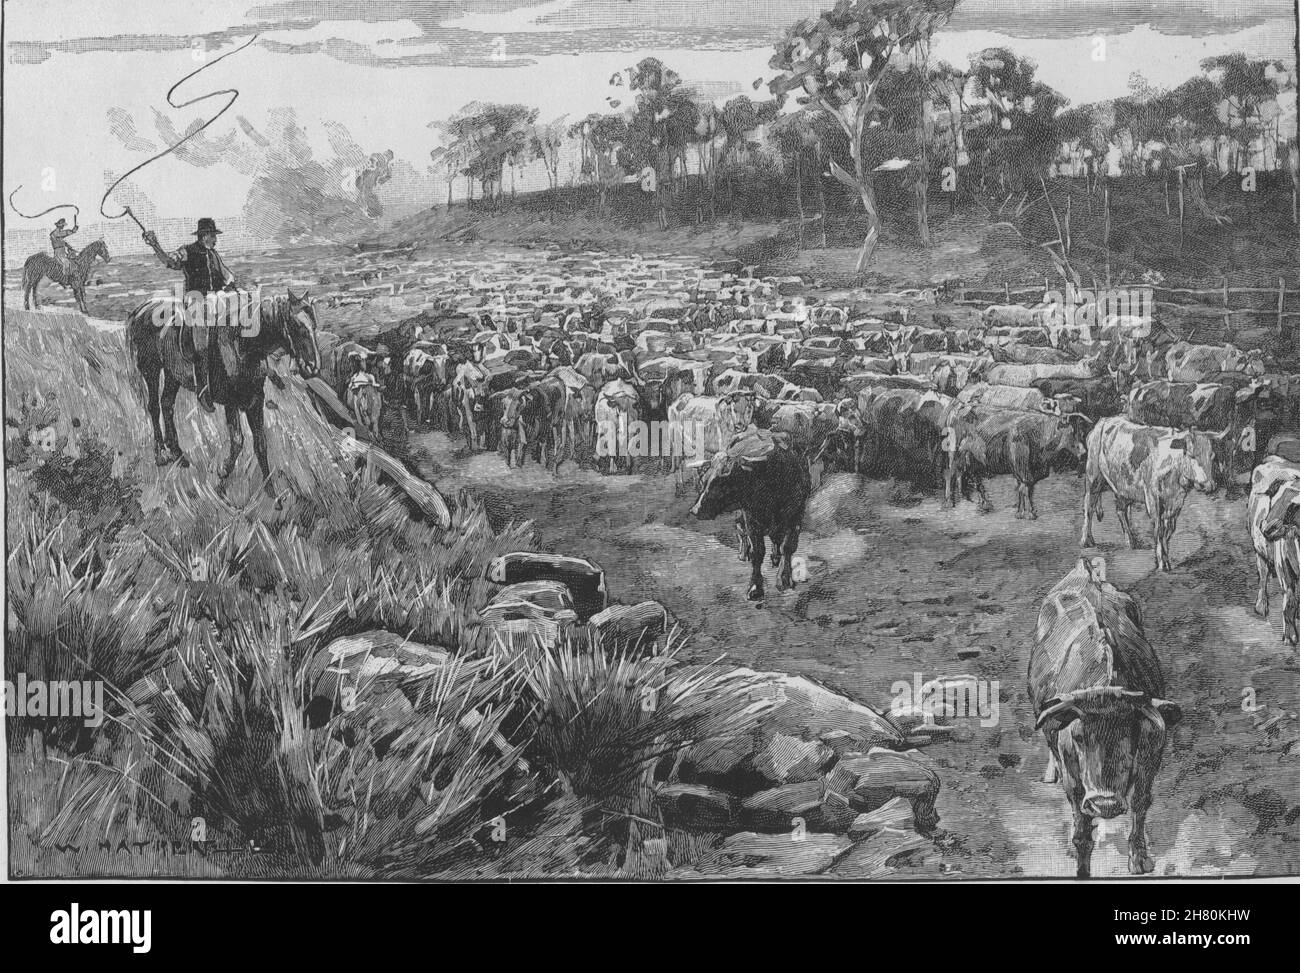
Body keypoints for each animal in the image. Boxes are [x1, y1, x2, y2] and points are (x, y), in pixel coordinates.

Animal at [125, 287, 321, 502]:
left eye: (314, 325)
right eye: (296, 325)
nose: (312, 366)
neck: (242, 345)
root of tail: (142, 309)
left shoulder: (255, 401)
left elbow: (260, 444)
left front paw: (271, 492)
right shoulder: (231, 403)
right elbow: (237, 441)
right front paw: (224, 472)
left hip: (172, 374)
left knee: (167, 404)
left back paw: (178, 454)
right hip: (151, 370)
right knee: (153, 407)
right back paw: (160, 455)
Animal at [696, 426, 806, 600]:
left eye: (723, 483)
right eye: (703, 480)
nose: (696, 509)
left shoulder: (796, 514)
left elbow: (787, 546)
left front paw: (784, 579)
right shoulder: (752, 518)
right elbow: (758, 552)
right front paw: (755, 587)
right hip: (742, 513)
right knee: (740, 527)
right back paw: (743, 553)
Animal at [951, 405, 1092, 517]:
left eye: (1082, 432)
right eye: (1072, 432)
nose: (1084, 453)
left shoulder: (1031, 469)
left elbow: (1025, 488)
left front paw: (1022, 511)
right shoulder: (1022, 468)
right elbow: (1025, 487)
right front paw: (1028, 513)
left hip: (975, 462)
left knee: (976, 480)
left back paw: (984, 504)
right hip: (958, 456)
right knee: (959, 476)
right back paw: (964, 501)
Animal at [1029, 554, 1185, 879]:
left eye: (1131, 734)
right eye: (1077, 735)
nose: (1105, 802)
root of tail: (1084, 569)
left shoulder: (1152, 752)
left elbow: (1140, 803)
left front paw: (1139, 858)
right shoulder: (1072, 773)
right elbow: (1081, 828)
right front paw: (1079, 861)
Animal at [1081, 416, 1211, 569]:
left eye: (1212, 456)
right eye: (1191, 455)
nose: (1207, 485)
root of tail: (1105, 420)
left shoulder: (1176, 501)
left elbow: (1169, 530)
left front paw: (1166, 558)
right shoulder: (1152, 497)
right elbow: (1159, 529)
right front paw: (1161, 562)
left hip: (1123, 485)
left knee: (1121, 510)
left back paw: (1130, 542)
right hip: (1093, 476)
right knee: (1089, 506)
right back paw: (1086, 540)